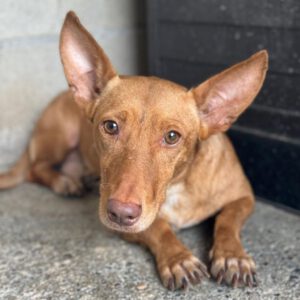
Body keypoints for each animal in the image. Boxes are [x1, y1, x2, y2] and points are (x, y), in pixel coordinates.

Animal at [0, 11, 268, 290]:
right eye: (110, 126)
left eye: (172, 136)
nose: (120, 213)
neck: (178, 186)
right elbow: (158, 227)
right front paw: (178, 258)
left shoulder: (244, 196)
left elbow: (227, 220)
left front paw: (232, 256)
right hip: (61, 135)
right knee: (35, 168)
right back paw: (64, 182)